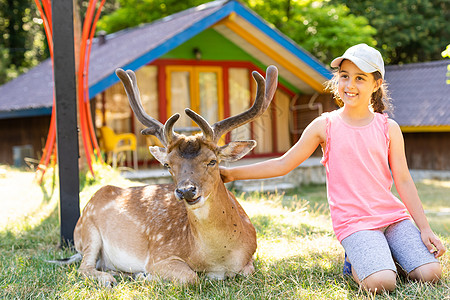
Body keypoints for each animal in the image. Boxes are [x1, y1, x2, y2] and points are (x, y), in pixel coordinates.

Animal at [57, 63, 276, 286]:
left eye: (212, 161)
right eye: (168, 164)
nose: (186, 190)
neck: (218, 259)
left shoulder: (249, 260)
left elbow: (248, 271)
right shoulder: (159, 254)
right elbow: (191, 277)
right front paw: (146, 276)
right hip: (88, 229)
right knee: (84, 267)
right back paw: (113, 277)